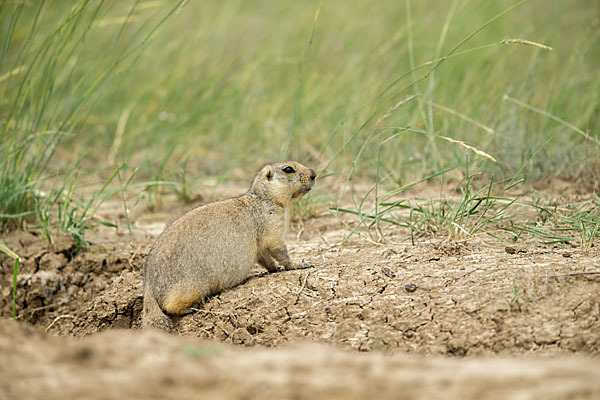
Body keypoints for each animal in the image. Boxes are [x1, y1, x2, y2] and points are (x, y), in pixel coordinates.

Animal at [142, 161, 316, 330]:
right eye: (288, 169)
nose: (314, 173)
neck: (263, 198)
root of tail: (149, 286)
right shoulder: (271, 223)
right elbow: (278, 247)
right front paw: (299, 264)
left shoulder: (260, 244)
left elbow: (264, 256)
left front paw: (274, 268)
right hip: (192, 285)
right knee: (170, 304)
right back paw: (191, 307)